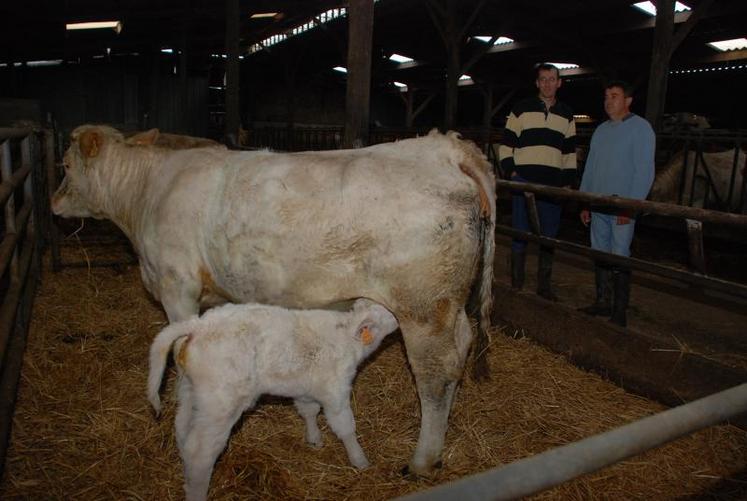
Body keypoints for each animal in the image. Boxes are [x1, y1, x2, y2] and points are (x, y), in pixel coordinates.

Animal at [52, 124, 496, 472]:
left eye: (66, 165)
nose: (54, 202)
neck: (146, 194)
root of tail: (444, 148)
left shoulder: (177, 285)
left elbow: (178, 351)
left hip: (423, 307)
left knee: (435, 374)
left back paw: (422, 459)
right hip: (449, 305)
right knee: (461, 349)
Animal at [148, 296, 400, 500]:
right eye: (387, 311)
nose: (400, 318)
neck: (347, 337)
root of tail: (198, 325)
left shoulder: (306, 388)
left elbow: (309, 411)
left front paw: (314, 438)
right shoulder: (336, 390)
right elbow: (345, 427)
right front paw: (360, 460)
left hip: (191, 392)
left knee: (182, 428)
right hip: (219, 404)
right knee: (200, 451)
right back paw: (197, 491)